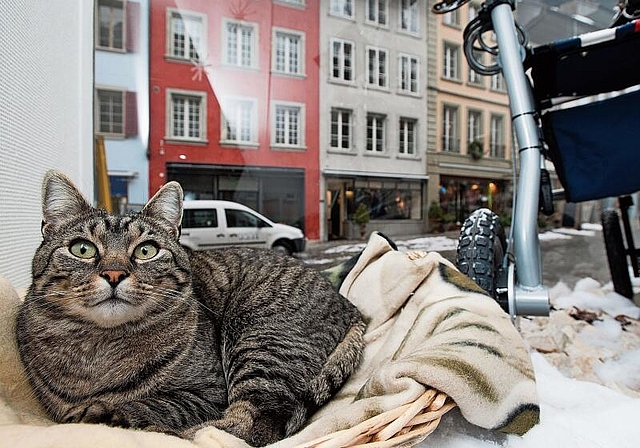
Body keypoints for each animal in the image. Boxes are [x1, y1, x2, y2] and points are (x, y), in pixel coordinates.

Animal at [16, 171, 364, 444]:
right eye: (82, 249)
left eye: (146, 250)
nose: (114, 274)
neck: (99, 347)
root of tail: (350, 306)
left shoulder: (207, 394)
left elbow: (150, 404)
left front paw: (102, 411)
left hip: (260, 340)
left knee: (249, 426)